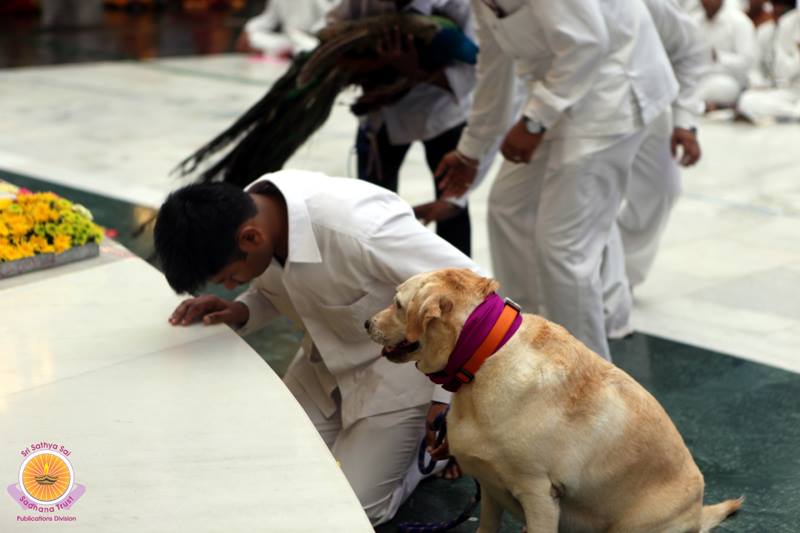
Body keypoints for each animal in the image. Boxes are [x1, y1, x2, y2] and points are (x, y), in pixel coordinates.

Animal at [366, 268, 740, 532]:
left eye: (397, 304)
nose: (367, 322)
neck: (483, 359)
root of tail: (698, 512)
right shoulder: (489, 489)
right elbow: (486, 526)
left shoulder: (540, 495)